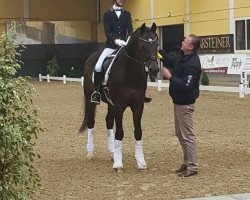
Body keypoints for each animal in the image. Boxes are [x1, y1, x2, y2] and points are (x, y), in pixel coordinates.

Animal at [79, 23, 159, 170]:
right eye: (142, 46)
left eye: (156, 44)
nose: (154, 69)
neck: (130, 72)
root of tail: (92, 56)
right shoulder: (120, 106)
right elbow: (120, 132)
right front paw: (118, 164)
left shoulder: (138, 106)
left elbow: (138, 132)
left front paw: (140, 162)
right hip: (90, 100)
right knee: (91, 122)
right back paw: (90, 153)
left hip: (111, 104)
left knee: (109, 121)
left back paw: (112, 153)